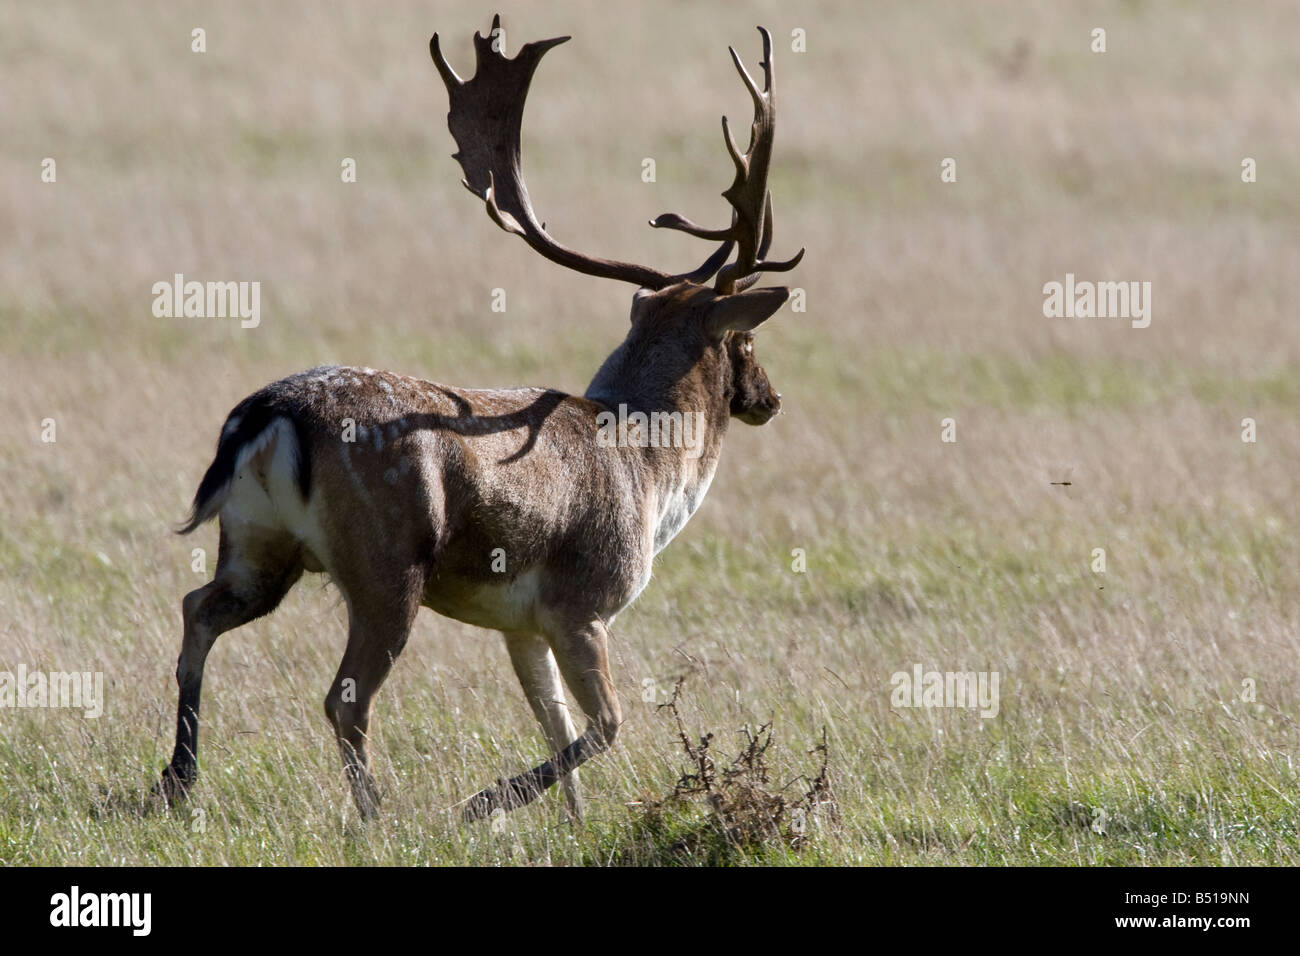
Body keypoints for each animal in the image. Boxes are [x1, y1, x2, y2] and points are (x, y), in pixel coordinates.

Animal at [152, 13, 800, 822]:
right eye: (746, 341)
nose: (770, 398)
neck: (650, 475)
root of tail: (270, 412)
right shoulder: (582, 604)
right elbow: (608, 725)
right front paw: (485, 803)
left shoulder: (522, 624)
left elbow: (558, 725)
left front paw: (572, 823)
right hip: (386, 562)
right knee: (344, 698)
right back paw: (378, 819)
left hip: (257, 543)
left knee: (198, 610)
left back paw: (179, 778)